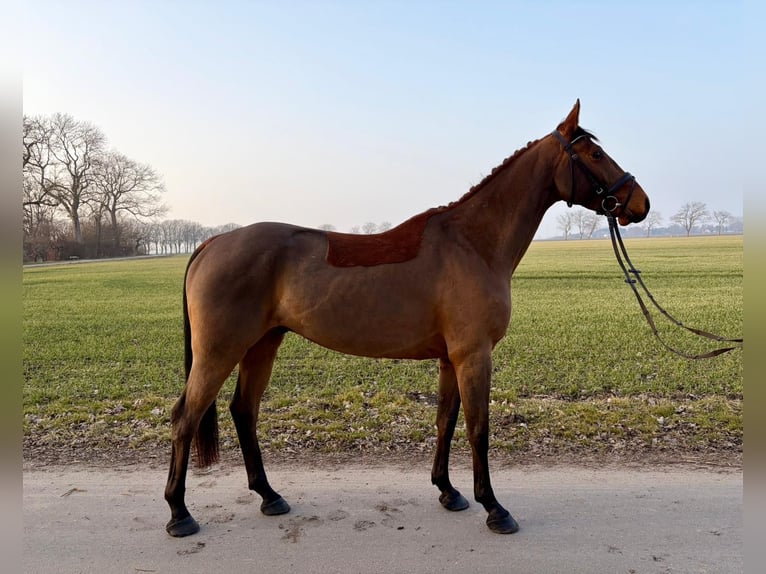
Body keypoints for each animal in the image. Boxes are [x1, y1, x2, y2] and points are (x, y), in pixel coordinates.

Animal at [164, 100, 650, 537]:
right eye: (594, 155)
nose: (640, 203)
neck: (472, 243)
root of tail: (212, 243)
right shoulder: (474, 355)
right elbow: (478, 428)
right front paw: (494, 508)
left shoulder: (450, 358)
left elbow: (446, 421)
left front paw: (449, 492)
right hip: (220, 351)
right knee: (186, 417)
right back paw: (179, 514)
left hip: (262, 344)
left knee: (244, 411)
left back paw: (269, 496)